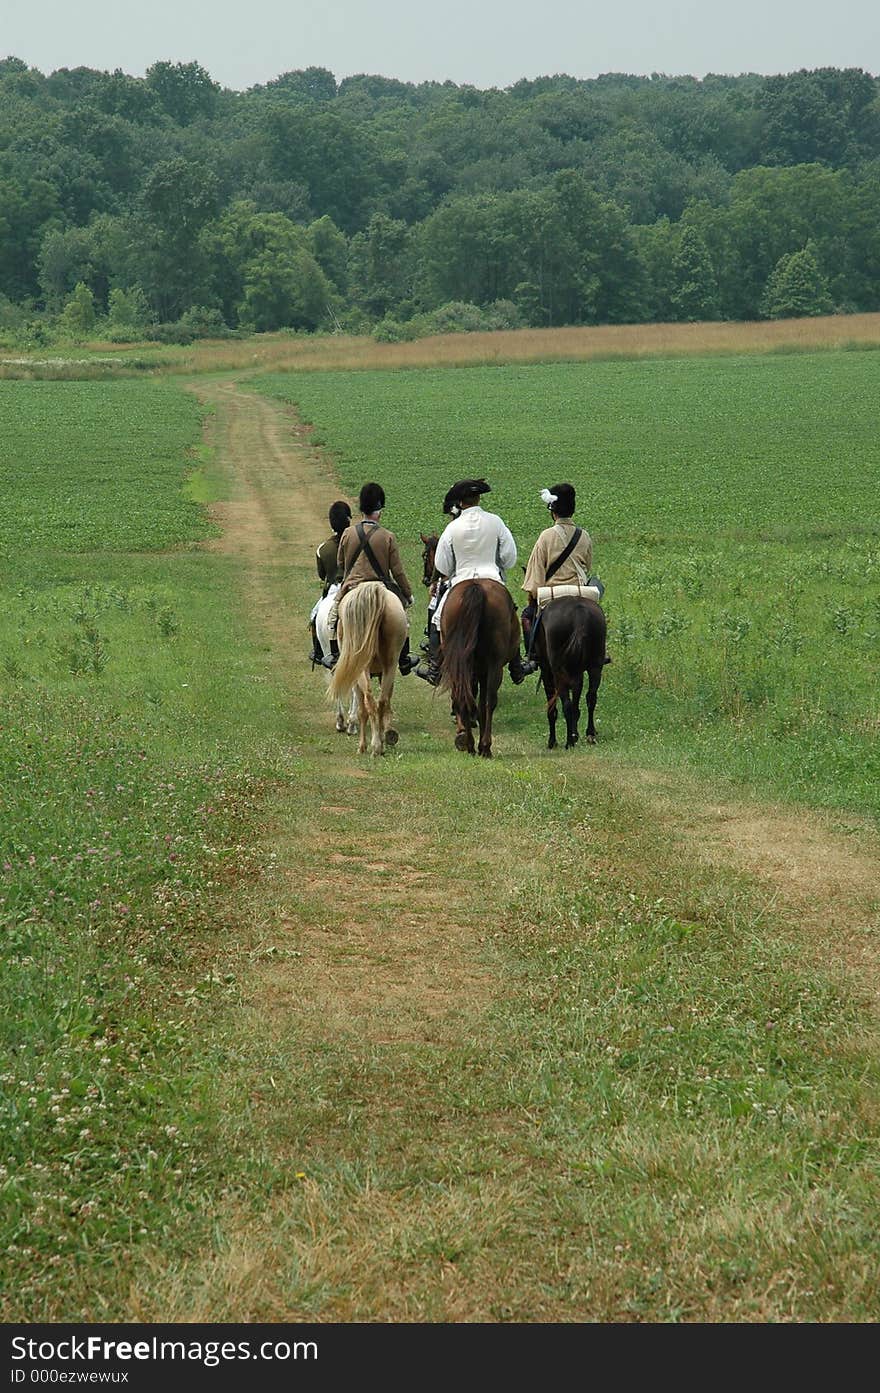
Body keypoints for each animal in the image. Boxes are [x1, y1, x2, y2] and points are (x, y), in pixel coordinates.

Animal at [327, 582, 409, 757]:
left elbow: (361, 710)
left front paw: (362, 746)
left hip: (361, 668)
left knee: (369, 702)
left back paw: (374, 746)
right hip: (390, 664)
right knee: (382, 701)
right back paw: (380, 745)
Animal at [437, 576, 517, 757]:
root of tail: (475, 587)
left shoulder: (476, 672)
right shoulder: (486, 671)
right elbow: (483, 704)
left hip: (460, 667)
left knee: (462, 698)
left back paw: (469, 744)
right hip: (494, 666)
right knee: (490, 702)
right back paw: (485, 746)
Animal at [531, 598, 607, 752]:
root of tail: (579, 614)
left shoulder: (547, 672)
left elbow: (552, 707)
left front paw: (552, 741)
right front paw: (575, 734)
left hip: (558, 673)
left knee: (566, 704)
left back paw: (568, 742)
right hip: (595, 666)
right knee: (591, 697)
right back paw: (589, 734)